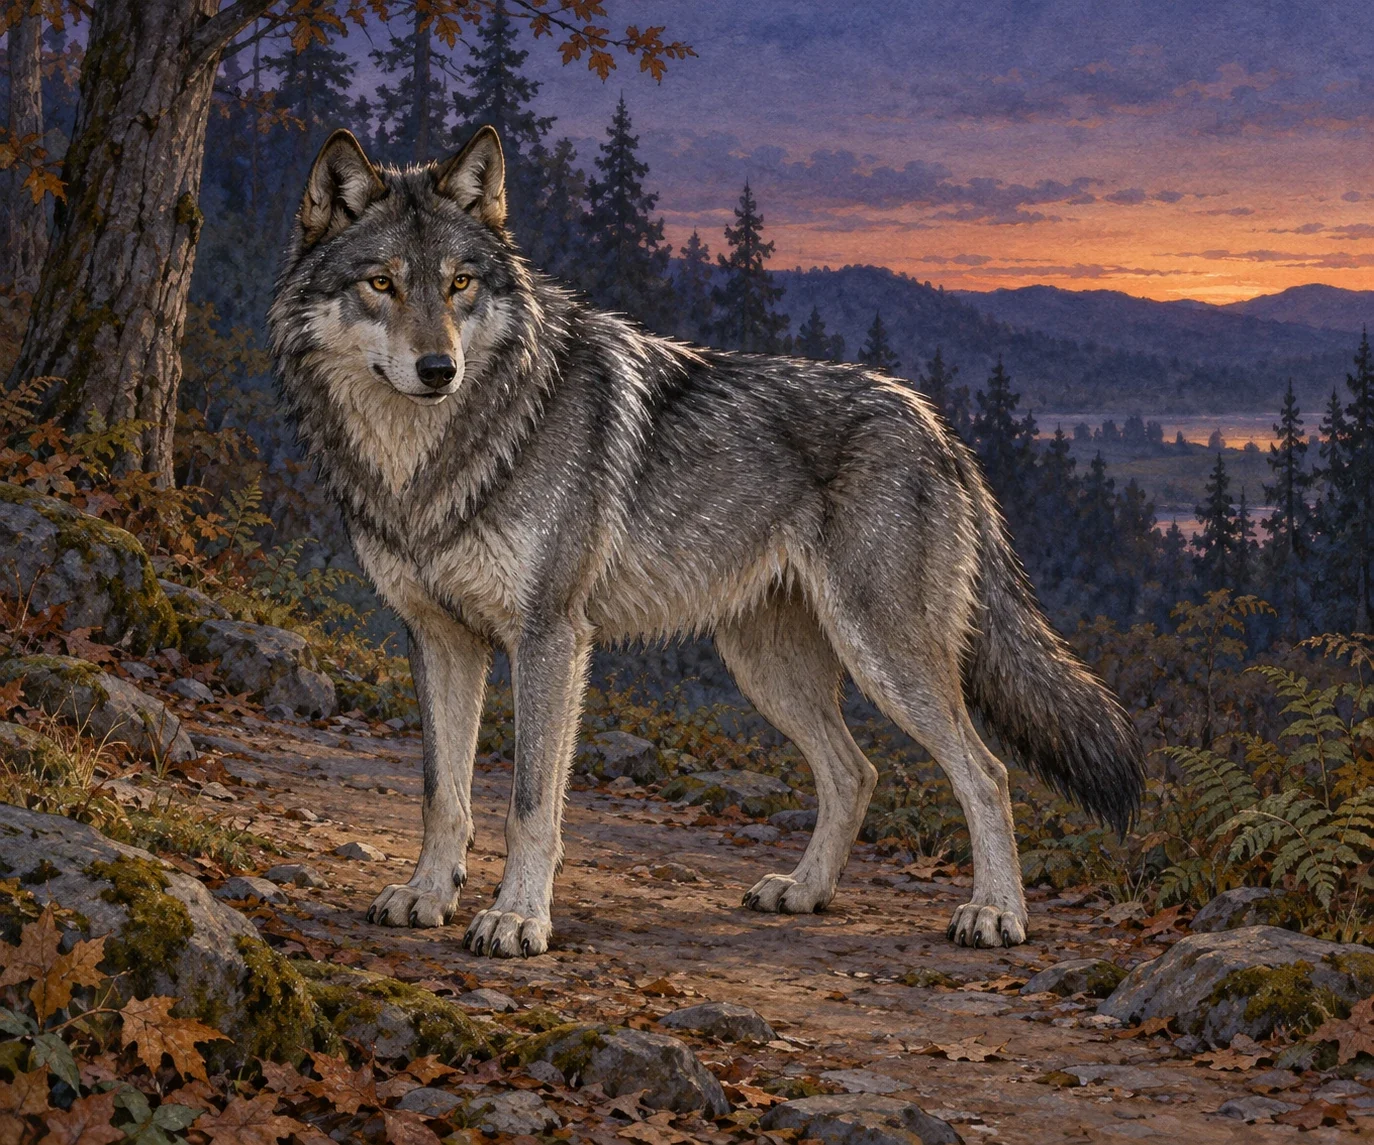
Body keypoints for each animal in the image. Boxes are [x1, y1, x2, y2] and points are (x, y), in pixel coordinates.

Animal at [269, 125, 1144, 958]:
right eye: (382, 282)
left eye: (460, 283)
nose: (438, 368)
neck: (427, 459)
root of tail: (935, 423)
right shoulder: (440, 636)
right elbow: (440, 793)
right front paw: (427, 894)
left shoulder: (549, 636)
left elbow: (528, 804)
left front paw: (517, 920)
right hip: (765, 665)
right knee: (855, 771)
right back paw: (805, 890)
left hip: (885, 658)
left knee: (985, 772)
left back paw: (996, 913)